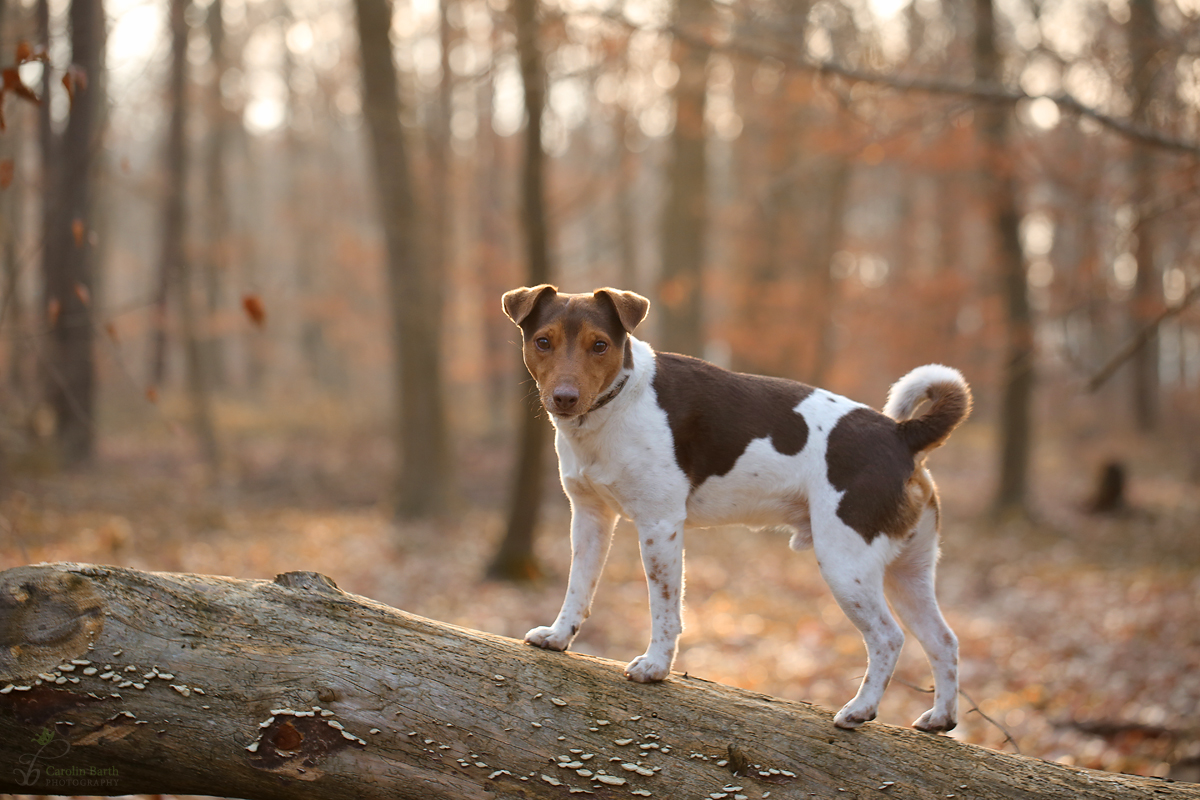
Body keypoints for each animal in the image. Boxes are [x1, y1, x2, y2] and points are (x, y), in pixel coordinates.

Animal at [501, 283, 969, 734]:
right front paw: (559, 636)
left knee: (889, 638)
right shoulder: (590, 518)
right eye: (543, 342)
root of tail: (902, 434)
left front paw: (656, 666)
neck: (617, 401)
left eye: (599, 345)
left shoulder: (659, 524)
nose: (564, 398)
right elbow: (578, 588)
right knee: (944, 640)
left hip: (845, 563)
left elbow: (664, 608)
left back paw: (860, 710)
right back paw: (940, 719)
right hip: (906, 573)